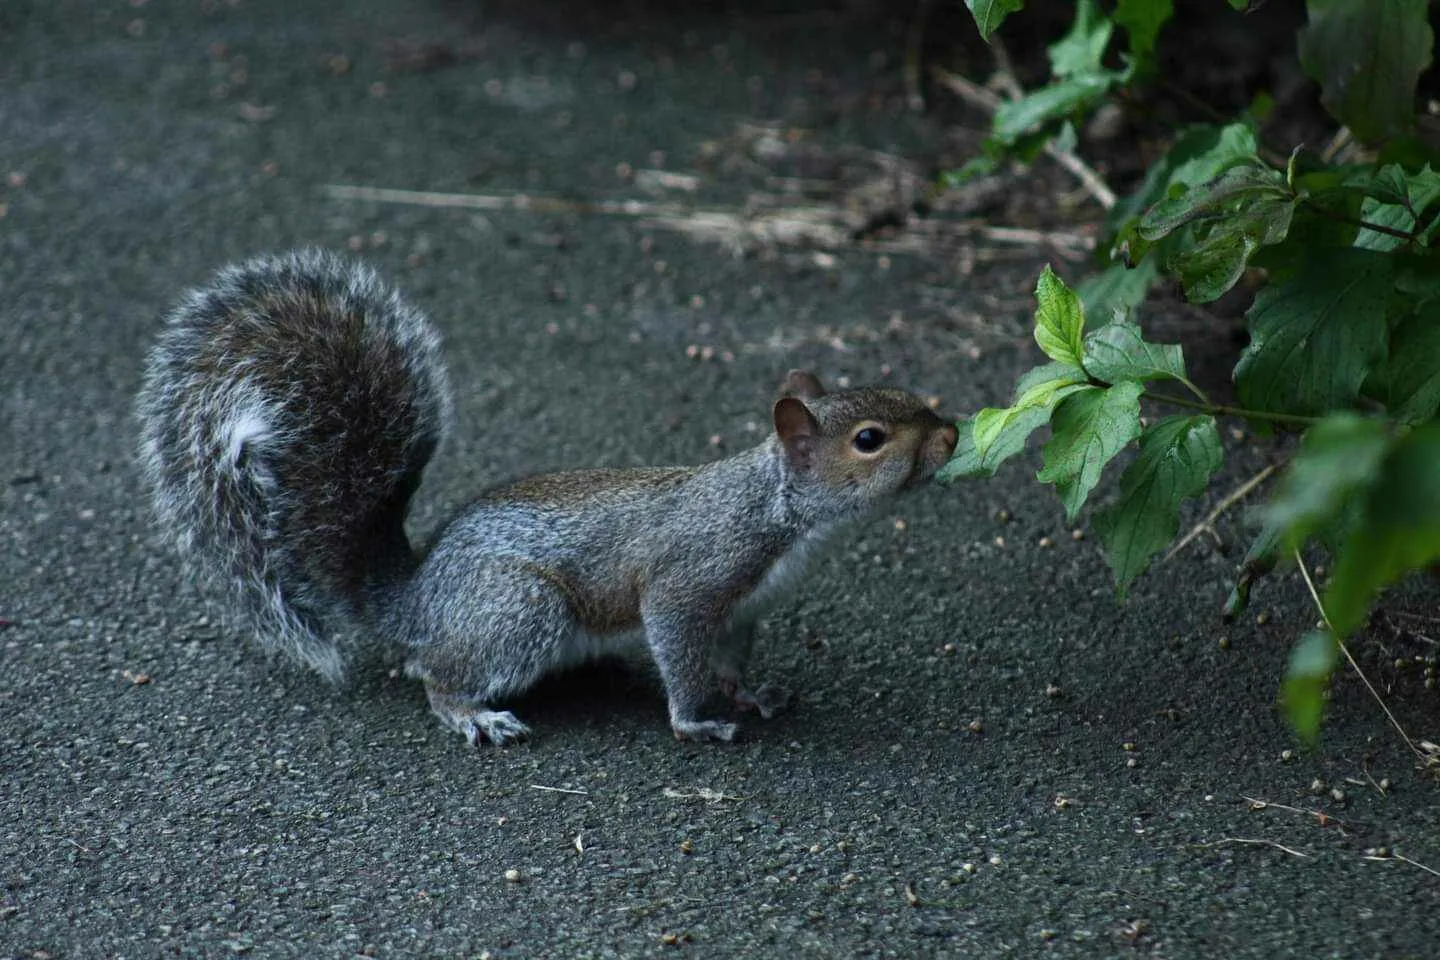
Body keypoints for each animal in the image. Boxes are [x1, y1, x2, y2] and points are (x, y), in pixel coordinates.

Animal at [137, 250, 958, 745]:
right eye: (871, 440)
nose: (951, 434)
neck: (777, 509)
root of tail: (413, 598)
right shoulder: (689, 581)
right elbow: (679, 651)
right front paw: (696, 722)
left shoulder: (741, 611)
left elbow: (727, 661)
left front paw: (749, 695)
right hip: (519, 609)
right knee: (436, 674)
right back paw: (475, 715)